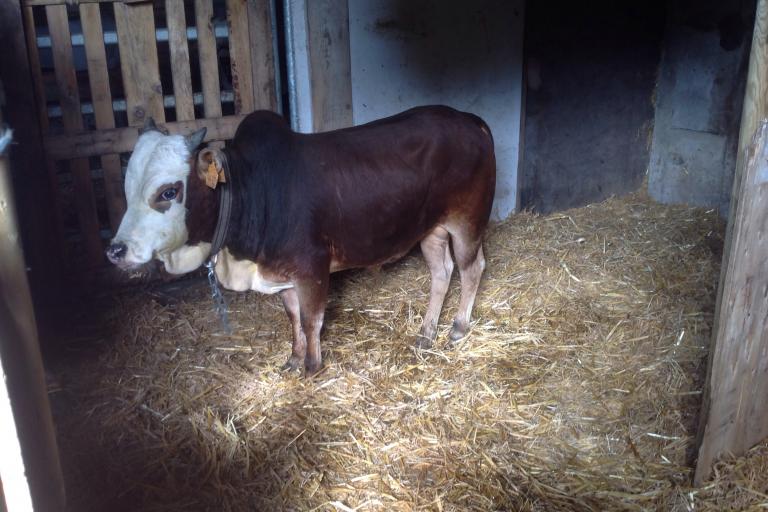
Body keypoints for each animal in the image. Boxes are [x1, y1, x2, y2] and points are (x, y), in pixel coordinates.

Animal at [105, 106, 496, 374]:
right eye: (126, 187)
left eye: (169, 192)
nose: (115, 250)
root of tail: (466, 118)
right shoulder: (281, 273)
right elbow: (293, 317)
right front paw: (294, 360)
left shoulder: (312, 268)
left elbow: (312, 319)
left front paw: (312, 367)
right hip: (431, 230)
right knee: (442, 272)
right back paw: (426, 333)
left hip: (467, 223)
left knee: (472, 268)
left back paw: (458, 327)